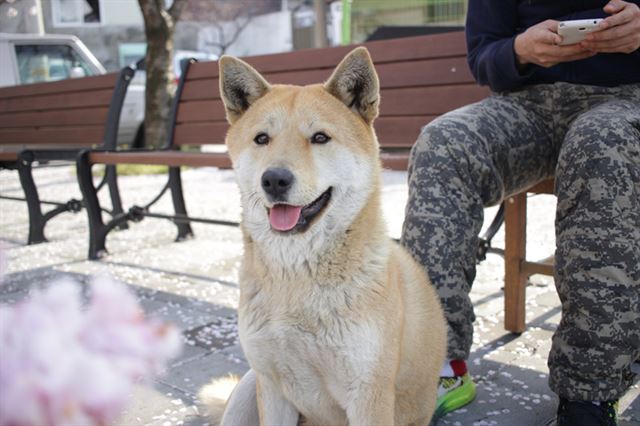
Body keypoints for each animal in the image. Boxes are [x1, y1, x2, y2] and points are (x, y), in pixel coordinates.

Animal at [208, 47, 448, 426]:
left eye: (320, 138)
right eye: (262, 139)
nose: (274, 179)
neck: (296, 276)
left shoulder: (368, 395)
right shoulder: (272, 387)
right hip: (247, 389)